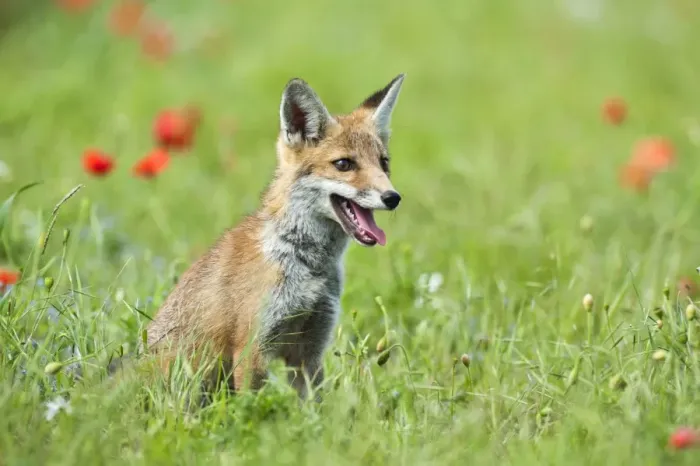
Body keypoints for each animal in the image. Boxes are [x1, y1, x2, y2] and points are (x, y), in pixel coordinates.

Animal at [144, 74, 406, 400]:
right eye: (344, 164)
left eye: (384, 163)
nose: (393, 198)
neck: (307, 263)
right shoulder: (252, 347)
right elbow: (252, 407)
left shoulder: (309, 351)